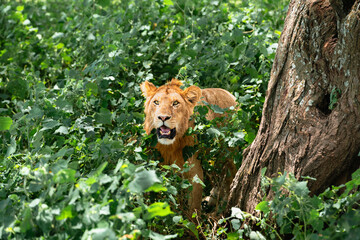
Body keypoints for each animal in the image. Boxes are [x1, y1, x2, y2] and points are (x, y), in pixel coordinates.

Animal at [140, 79, 236, 216]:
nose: (163, 117)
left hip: (226, 155)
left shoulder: (194, 172)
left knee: (229, 180)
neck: (169, 146)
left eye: (175, 103)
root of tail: (227, 92)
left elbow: (193, 207)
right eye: (156, 102)